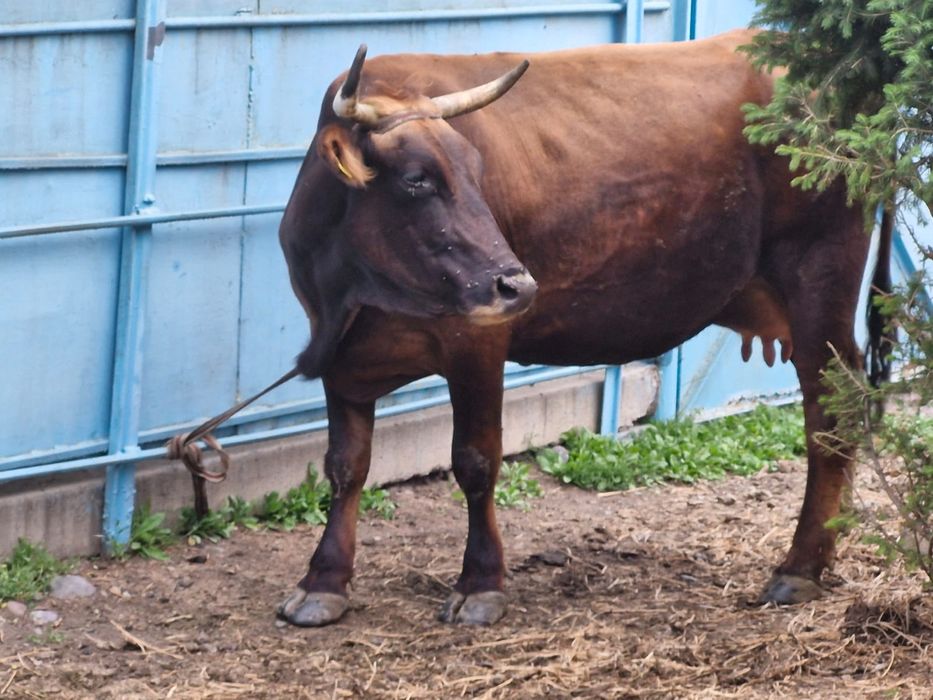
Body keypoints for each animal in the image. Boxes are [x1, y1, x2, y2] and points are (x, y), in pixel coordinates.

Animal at [276, 29, 886, 627]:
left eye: (477, 172)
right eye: (416, 179)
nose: (517, 285)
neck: (353, 292)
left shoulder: (477, 342)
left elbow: (475, 460)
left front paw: (480, 584)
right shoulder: (340, 355)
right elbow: (346, 466)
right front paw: (323, 582)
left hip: (820, 273)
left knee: (830, 413)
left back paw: (801, 566)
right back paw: (831, 543)